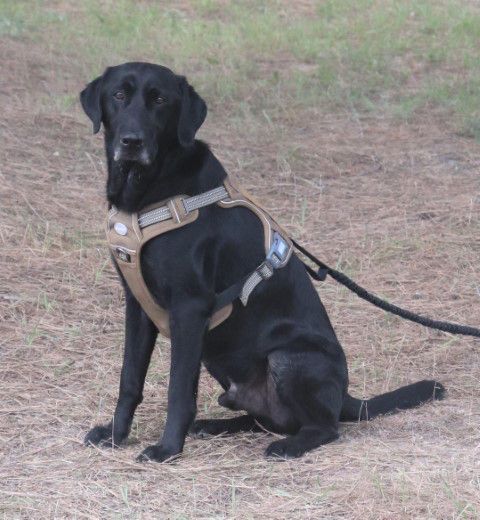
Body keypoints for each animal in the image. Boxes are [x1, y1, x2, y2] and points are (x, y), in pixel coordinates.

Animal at [80, 63, 444, 462]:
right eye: (119, 95)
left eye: (159, 100)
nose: (131, 142)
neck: (148, 192)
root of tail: (346, 397)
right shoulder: (137, 304)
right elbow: (130, 378)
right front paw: (115, 434)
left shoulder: (189, 307)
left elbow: (178, 389)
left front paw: (167, 449)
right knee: (264, 418)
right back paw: (213, 426)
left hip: (289, 357)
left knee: (324, 427)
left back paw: (288, 446)